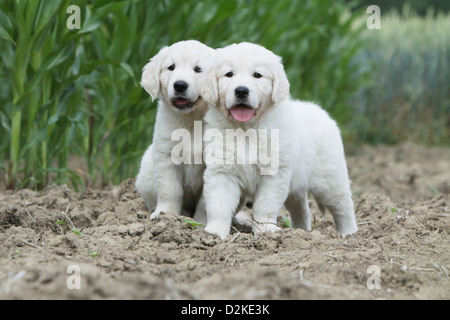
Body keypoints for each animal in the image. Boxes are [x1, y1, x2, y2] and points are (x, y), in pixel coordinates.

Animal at [135, 39, 214, 220]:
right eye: (171, 67)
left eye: (198, 69)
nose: (180, 85)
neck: (191, 119)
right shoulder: (166, 155)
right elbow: (170, 190)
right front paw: (166, 215)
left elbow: (206, 200)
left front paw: (201, 222)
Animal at [200, 41, 358, 239]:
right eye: (229, 74)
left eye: (257, 75)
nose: (241, 91)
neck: (246, 130)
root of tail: (322, 112)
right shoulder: (222, 171)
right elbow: (219, 205)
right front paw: (214, 233)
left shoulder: (274, 174)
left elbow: (264, 205)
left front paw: (266, 230)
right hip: (295, 185)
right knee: (301, 209)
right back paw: (300, 231)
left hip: (330, 181)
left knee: (343, 207)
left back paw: (350, 234)